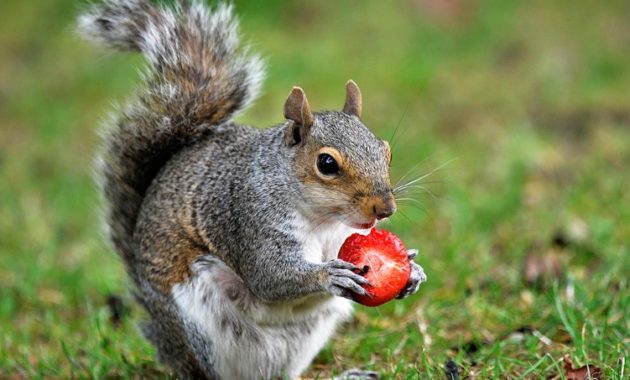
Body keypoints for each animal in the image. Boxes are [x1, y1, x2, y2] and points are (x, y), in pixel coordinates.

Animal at [76, 1, 428, 378]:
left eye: (386, 151)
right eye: (326, 164)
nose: (386, 209)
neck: (323, 219)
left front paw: (412, 271)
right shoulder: (248, 218)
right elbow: (268, 276)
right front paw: (328, 273)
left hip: (306, 335)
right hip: (196, 326)